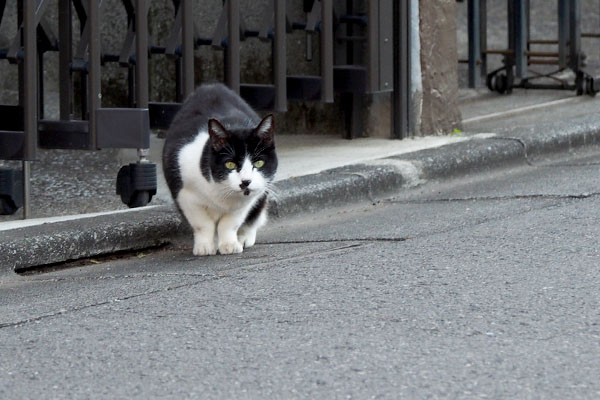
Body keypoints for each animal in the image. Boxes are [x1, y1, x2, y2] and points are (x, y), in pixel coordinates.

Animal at [163, 83, 278, 256]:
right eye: (230, 164)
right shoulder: (185, 195)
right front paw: (204, 247)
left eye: (258, 163)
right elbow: (203, 224)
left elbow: (229, 224)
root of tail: (212, 85)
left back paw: (244, 238)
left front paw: (229, 245)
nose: (246, 181)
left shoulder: (244, 203)